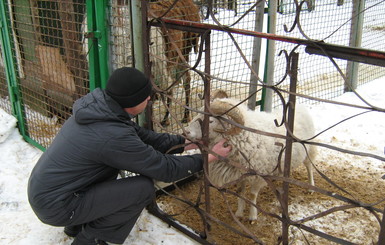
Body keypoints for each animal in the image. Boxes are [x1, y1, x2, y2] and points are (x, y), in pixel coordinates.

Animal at [183, 91, 316, 222]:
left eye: (210, 121)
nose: (185, 132)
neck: (246, 137)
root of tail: (301, 106)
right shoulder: (239, 175)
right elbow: (240, 192)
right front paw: (239, 213)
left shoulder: (259, 175)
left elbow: (252, 195)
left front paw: (252, 216)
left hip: (308, 150)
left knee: (309, 167)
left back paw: (311, 187)